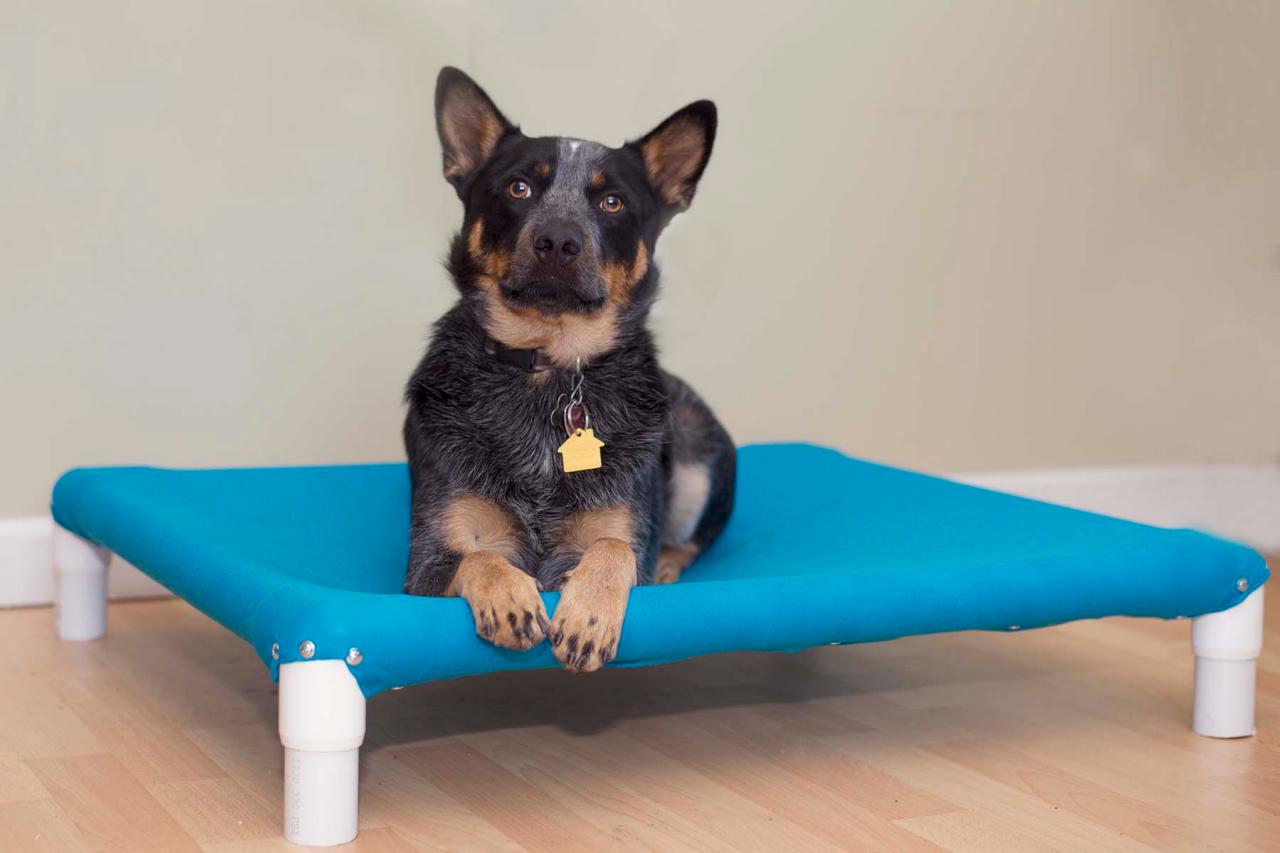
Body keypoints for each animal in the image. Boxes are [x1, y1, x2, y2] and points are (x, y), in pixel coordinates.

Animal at [404, 68, 737, 671]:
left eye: (611, 201)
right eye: (519, 188)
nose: (558, 240)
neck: (551, 368)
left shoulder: (619, 532)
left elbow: (613, 549)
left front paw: (590, 615)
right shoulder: (427, 562)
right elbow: (479, 559)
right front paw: (509, 596)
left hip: (699, 458)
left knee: (689, 539)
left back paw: (671, 564)